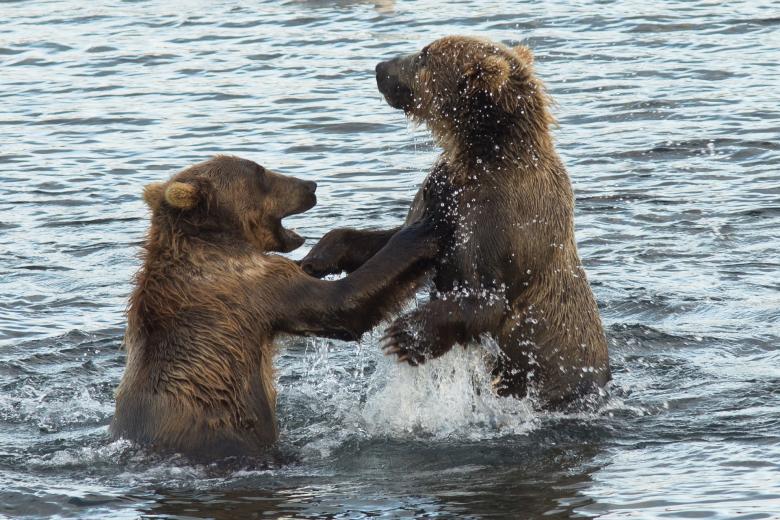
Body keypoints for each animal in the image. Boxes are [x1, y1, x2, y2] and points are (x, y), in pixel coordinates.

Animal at [111, 155, 443, 459]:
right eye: (260, 173)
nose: (310, 185)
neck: (214, 240)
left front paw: (323, 254)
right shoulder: (249, 284)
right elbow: (342, 305)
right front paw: (424, 225)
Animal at [301, 36, 610, 407]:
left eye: (424, 57)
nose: (380, 67)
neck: (481, 156)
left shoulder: (503, 221)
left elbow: (487, 298)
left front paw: (405, 335)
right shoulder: (440, 198)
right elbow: (393, 240)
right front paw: (317, 257)